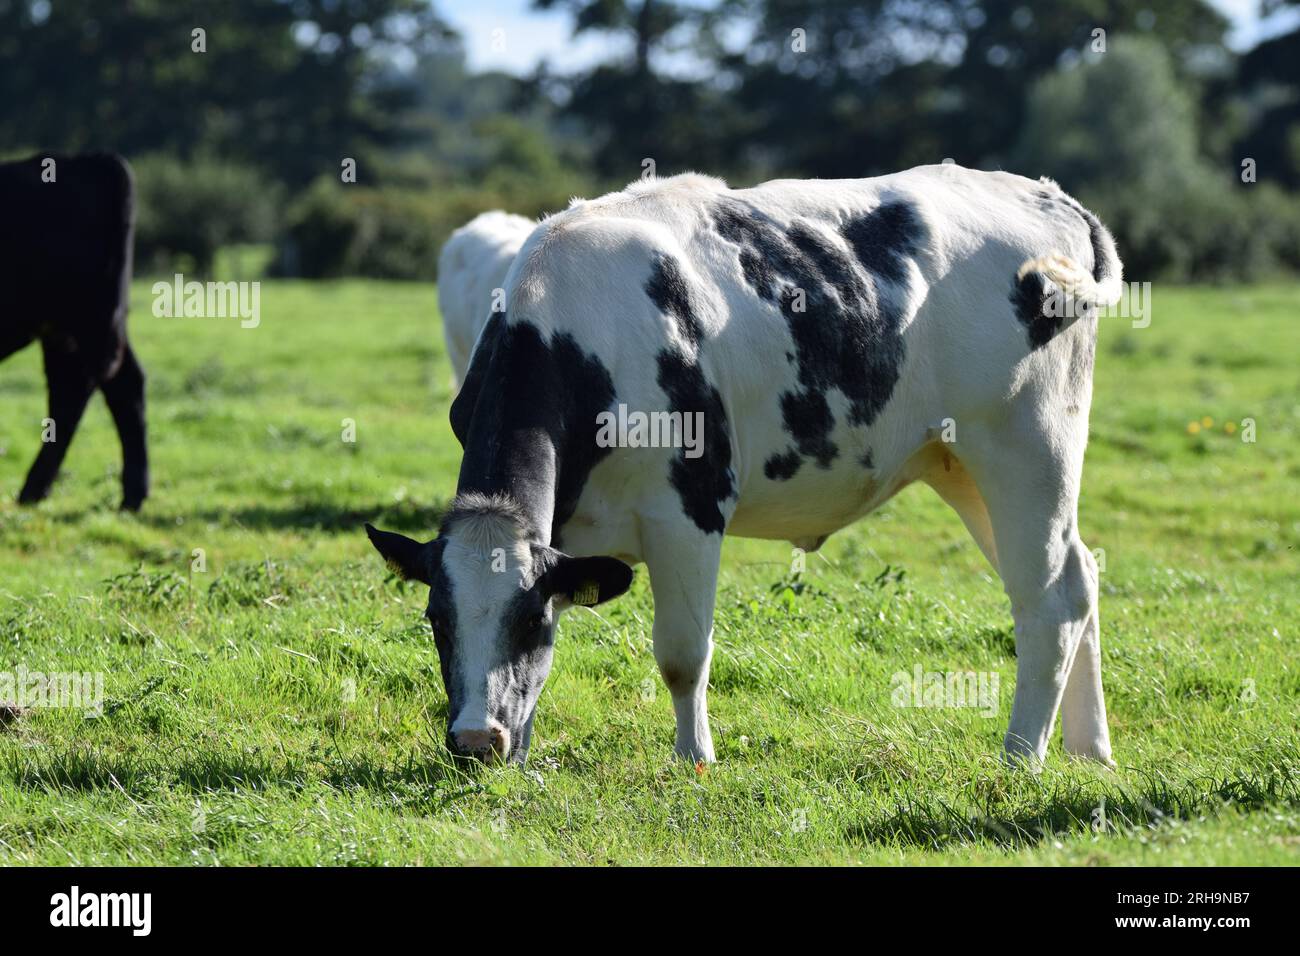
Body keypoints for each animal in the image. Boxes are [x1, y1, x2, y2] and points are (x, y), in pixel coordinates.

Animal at [0, 151, 148, 509]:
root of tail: (93, 159)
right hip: (81, 327)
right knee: (123, 384)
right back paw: (132, 496)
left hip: (84, 319)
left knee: (74, 392)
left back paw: (33, 490)